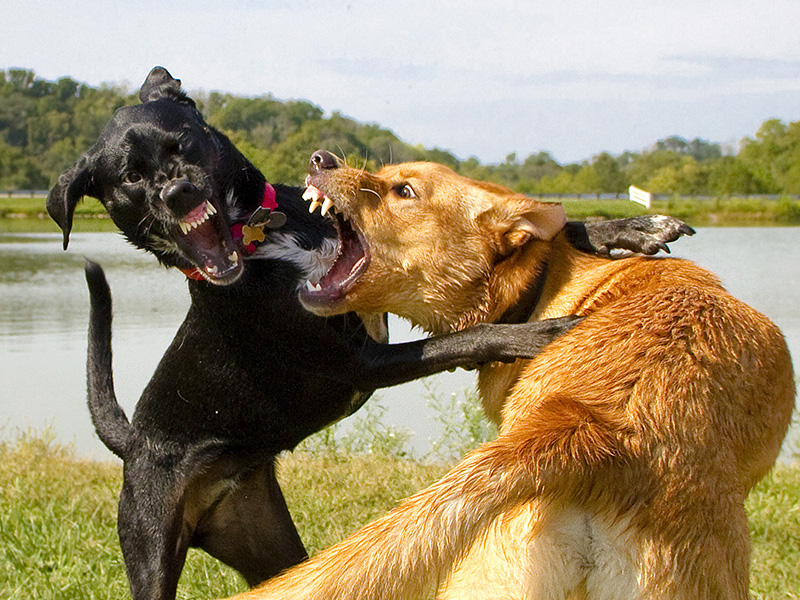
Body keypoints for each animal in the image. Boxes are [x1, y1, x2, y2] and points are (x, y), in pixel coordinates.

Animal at [47, 67, 692, 600]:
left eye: (181, 144)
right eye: (130, 178)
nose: (177, 193)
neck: (270, 244)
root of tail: (135, 442)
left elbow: (555, 232)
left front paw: (630, 228)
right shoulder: (361, 365)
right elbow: (462, 338)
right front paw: (541, 332)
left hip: (271, 547)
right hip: (151, 543)